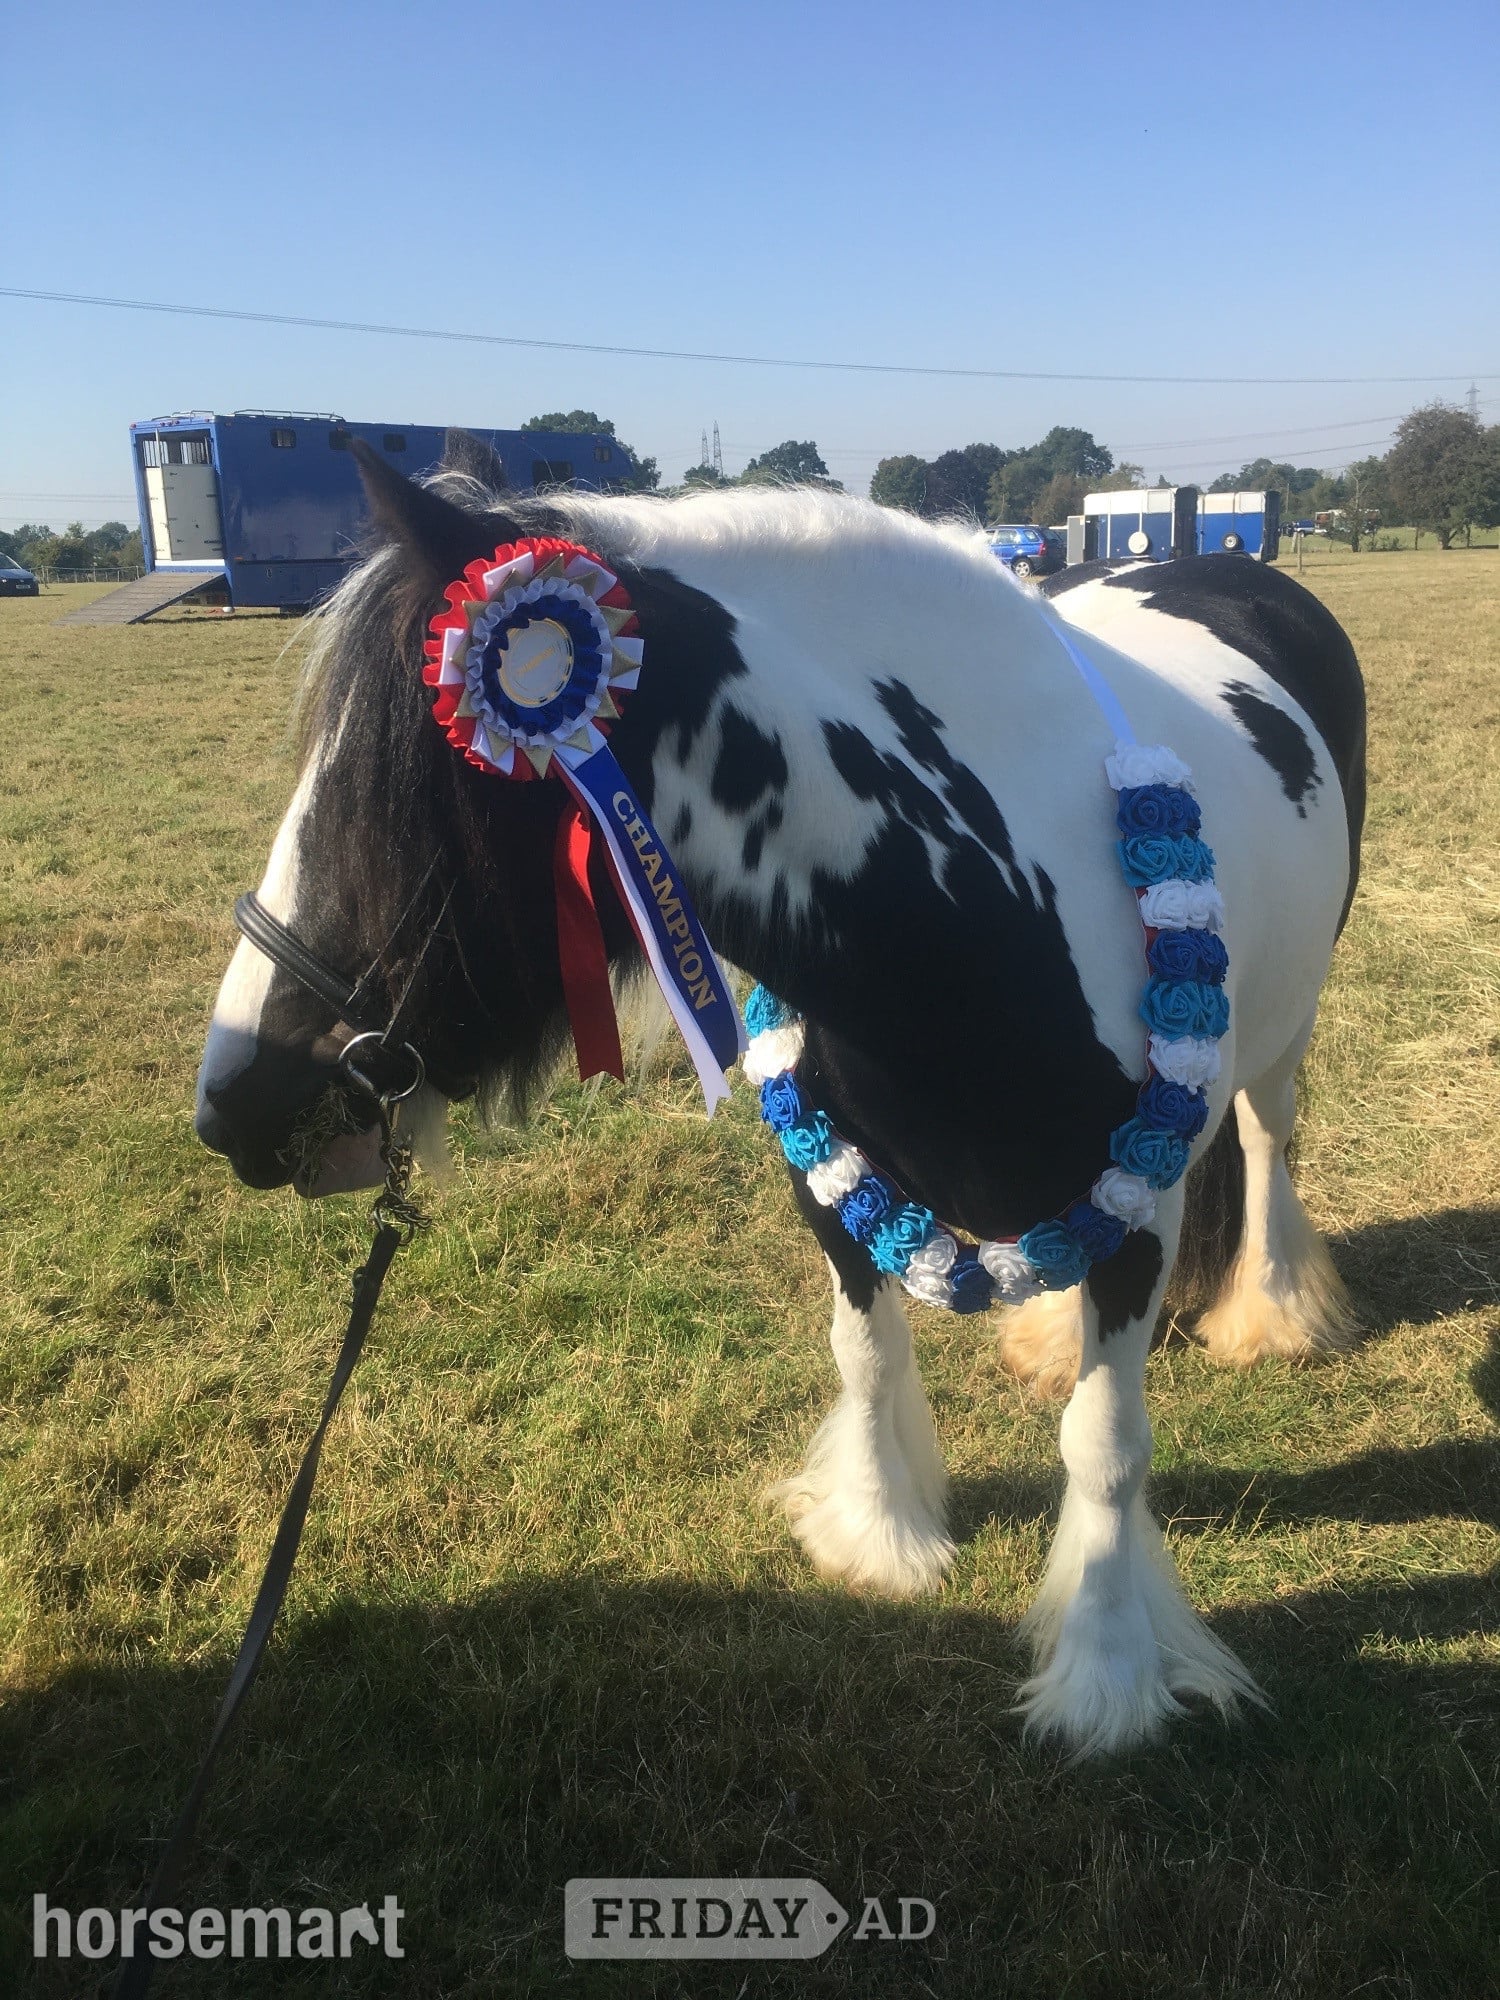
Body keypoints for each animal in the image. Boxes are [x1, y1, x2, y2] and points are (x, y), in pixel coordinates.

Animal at [195, 435, 1365, 1757]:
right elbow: (867, 1356)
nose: (233, 1104)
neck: (981, 911)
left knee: (1266, 1141)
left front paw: (1106, 1673)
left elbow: (1106, 1441)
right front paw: (880, 1536)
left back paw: (1273, 1311)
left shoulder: (1142, 1216)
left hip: (1279, 1038)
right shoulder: (832, 1182)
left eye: (407, 794)